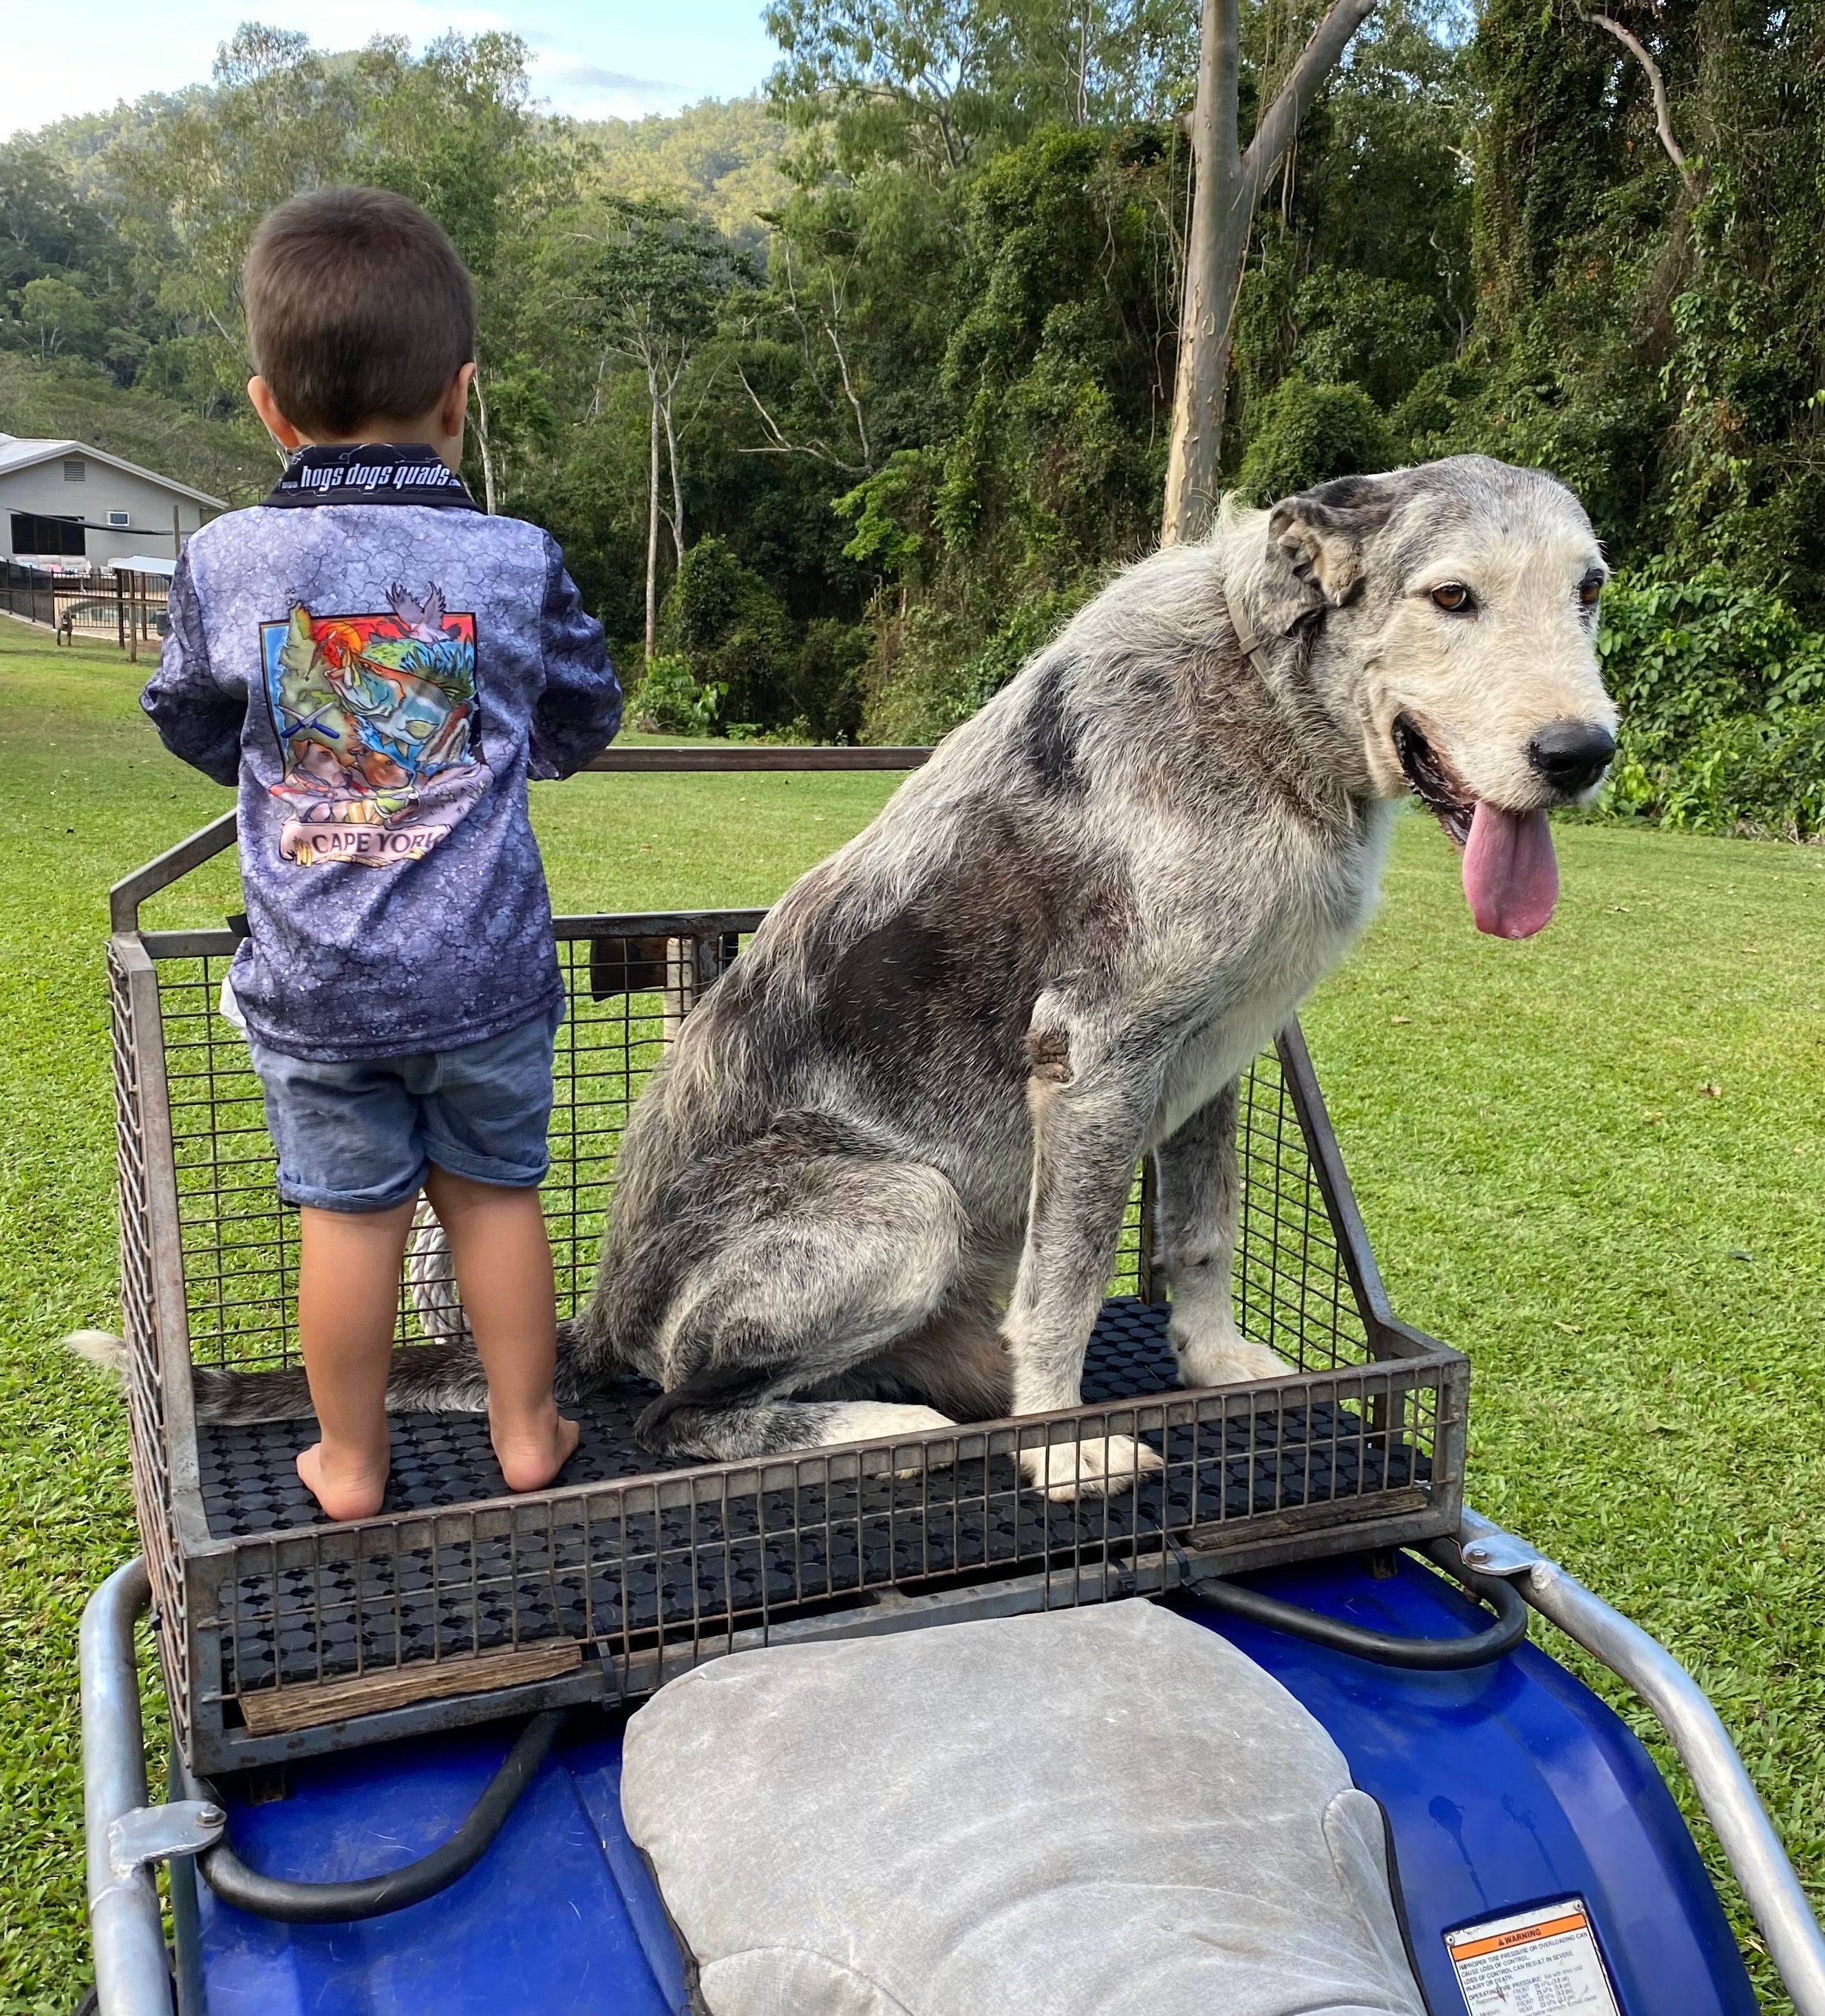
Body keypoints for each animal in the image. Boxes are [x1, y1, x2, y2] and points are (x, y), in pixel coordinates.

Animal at [178, 458, 1613, 1499]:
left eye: (1589, 589)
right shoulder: (1096, 1061)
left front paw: (1215, 1366)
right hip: (903, 1206)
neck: (1262, 700)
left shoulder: (1217, 1052)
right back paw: (885, 1429)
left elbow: (1198, 1235)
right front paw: (1058, 1452)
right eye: (1450, 598)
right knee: (681, 1424)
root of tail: (596, 1325)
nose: (1582, 752)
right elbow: (1069, 1298)